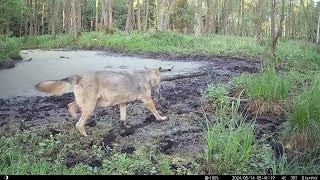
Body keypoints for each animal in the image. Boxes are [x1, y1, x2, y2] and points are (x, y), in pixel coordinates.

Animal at [35, 67, 168, 136]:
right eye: (160, 81)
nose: (160, 91)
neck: (146, 77)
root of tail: (79, 76)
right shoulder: (148, 101)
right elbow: (156, 112)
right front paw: (161, 118)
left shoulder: (122, 103)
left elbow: (123, 117)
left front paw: (125, 127)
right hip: (91, 106)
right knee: (79, 124)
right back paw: (86, 136)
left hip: (88, 103)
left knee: (70, 106)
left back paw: (74, 117)